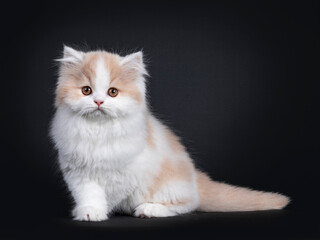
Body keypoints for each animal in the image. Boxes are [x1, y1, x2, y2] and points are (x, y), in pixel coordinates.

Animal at [50, 46, 290, 220]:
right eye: (86, 90)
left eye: (113, 92)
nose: (99, 102)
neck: (98, 131)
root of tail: (195, 178)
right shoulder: (79, 173)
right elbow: (90, 195)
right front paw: (89, 213)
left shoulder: (125, 173)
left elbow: (110, 195)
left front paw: (103, 211)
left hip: (169, 188)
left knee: (188, 205)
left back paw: (148, 210)